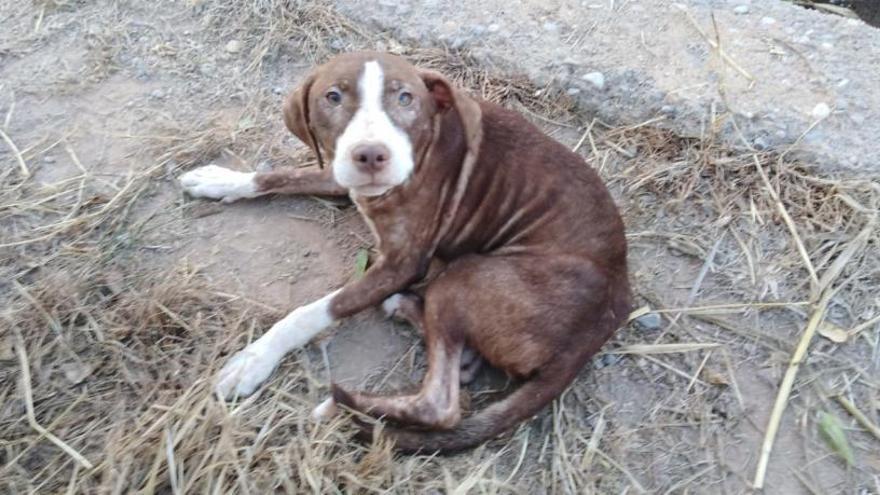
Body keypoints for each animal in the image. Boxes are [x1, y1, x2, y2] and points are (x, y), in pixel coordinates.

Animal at [180, 51, 632, 454]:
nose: (371, 155)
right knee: (454, 366)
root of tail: (606, 317)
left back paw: (344, 409)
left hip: (467, 275)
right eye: (333, 97)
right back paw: (417, 320)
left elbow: (313, 312)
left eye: (404, 98)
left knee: (441, 406)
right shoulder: (339, 173)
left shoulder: (403, 263)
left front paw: (255, 359)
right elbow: (282, 175)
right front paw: (224, 180)